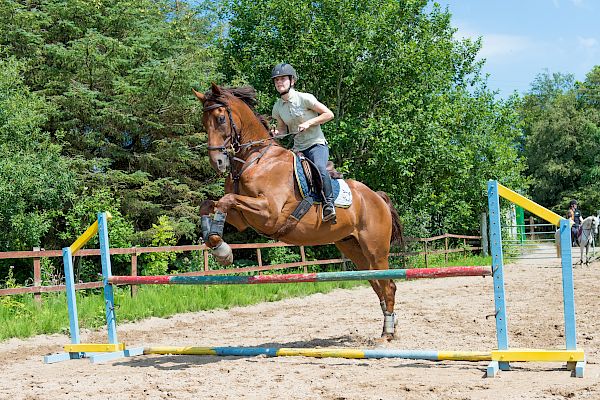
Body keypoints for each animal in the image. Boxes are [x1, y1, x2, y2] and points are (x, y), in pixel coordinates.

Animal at [195, 83, 406, 340]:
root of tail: (377, 197)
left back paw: (389, 331)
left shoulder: (270, 214)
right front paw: (215, 243)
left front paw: (223, 251)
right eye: (203, 122)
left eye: (221, 118)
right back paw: (389, 325)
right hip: (353, 248)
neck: (255, 158)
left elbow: (226, 200)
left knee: (389, 285)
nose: (217, 162)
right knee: (377, 284)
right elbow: (211, 204)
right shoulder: (243, 219)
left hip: (376, 250)